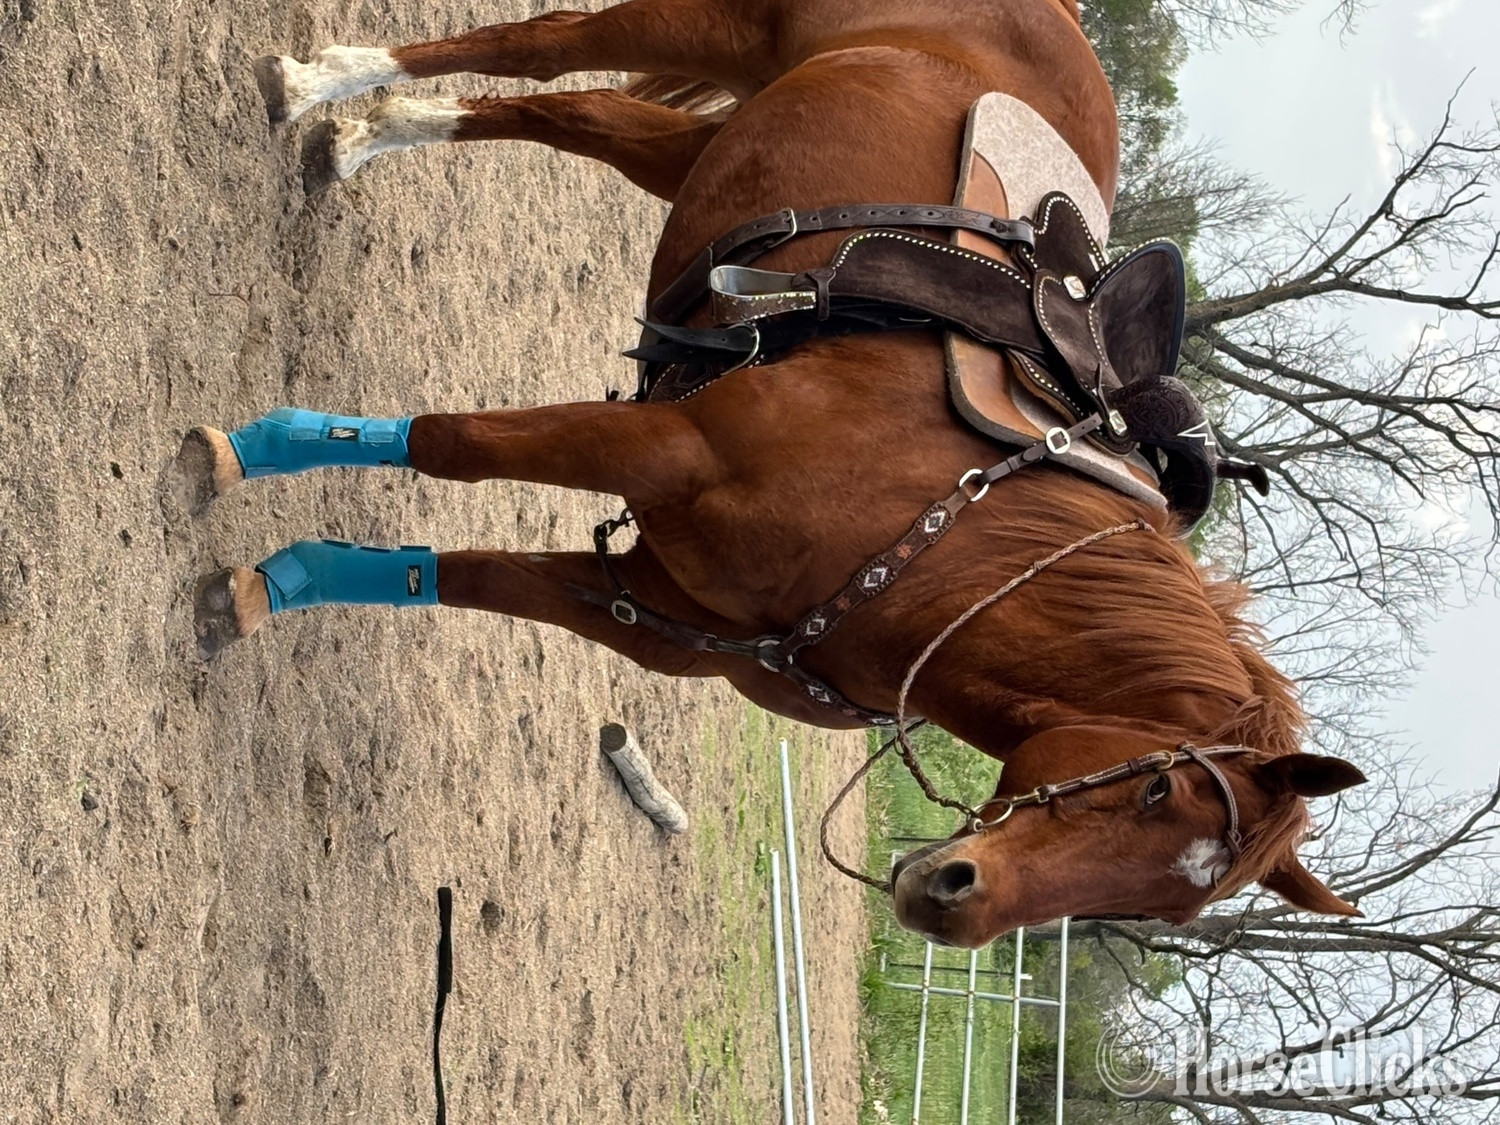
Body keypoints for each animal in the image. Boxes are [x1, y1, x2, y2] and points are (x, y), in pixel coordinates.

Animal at [179, 0, 1367, 948]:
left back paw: (364, 134)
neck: (938, 544)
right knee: (538, 47)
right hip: (708, 23)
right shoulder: (665, 449)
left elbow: (456, 576)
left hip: (711, 141)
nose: (954, 901)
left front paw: (278, 582)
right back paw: (322, 84)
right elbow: (453, 446)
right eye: (1156, 786)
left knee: (576, 117)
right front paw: (254, 449)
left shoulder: (647, 613)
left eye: (1154, 903)